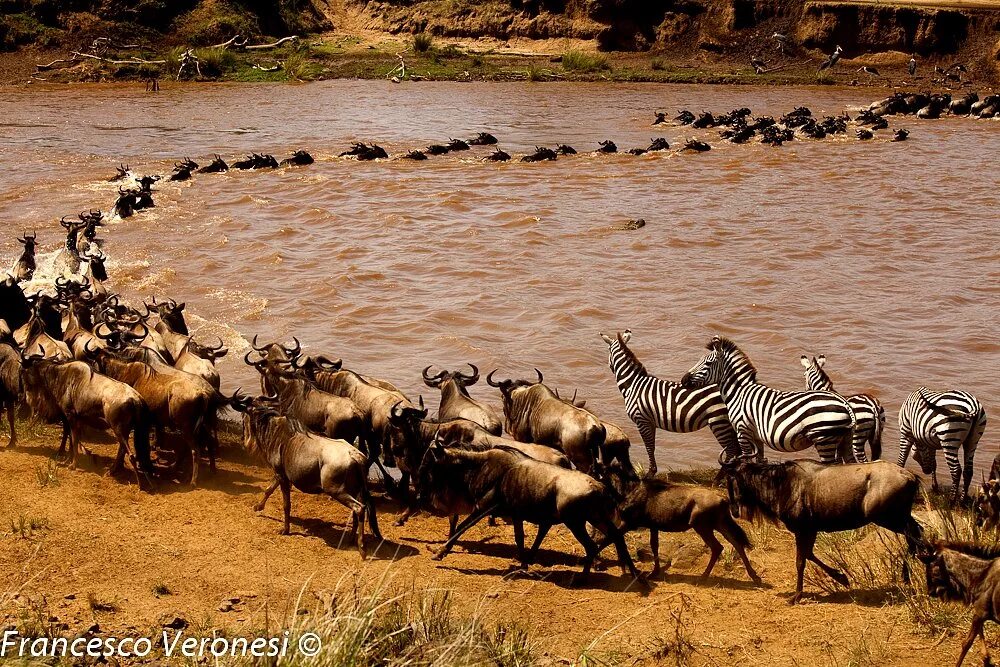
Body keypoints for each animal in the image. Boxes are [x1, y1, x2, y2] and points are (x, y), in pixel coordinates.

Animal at [596, 332, 740, 472]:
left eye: (608, 353)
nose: (609, 366)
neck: (633, 383)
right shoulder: (650, 422)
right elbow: (652, 446)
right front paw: (652, 470)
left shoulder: (642, 420)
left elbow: (649, 447)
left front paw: (650, 473)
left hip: (719, 421)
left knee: (731, 451)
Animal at [684, 334, 856, 464]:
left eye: (708, 363)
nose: (683, 380)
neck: (739, 392)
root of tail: (844, 403)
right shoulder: (756, 435)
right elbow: (759, 460)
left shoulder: (742, 431)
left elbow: (746, 461)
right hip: (845, 440)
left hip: (824, 439)